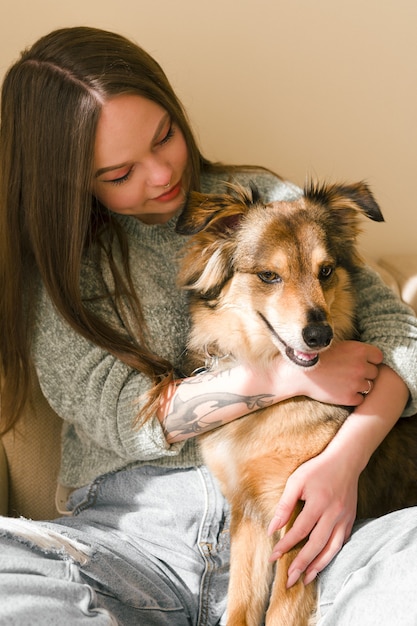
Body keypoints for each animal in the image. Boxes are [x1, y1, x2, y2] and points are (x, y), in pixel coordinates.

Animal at [175, 180, 416, 624]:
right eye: (269, 276)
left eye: (326, 270)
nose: (319, 336)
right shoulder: (251, 514)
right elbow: (242, 606)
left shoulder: (302, 520)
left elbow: (280, 612)